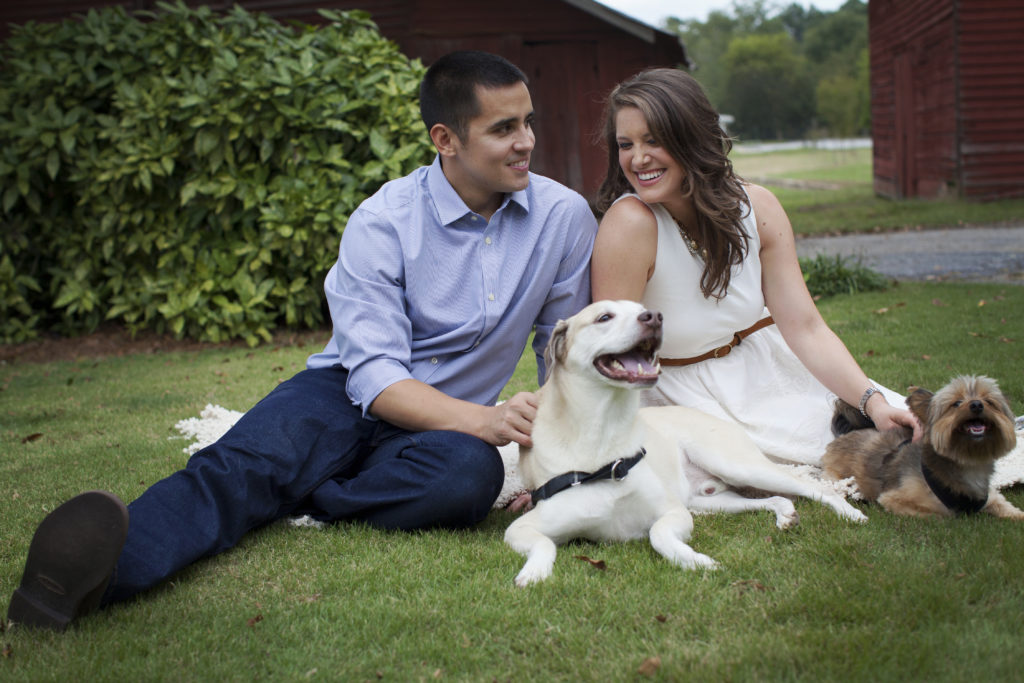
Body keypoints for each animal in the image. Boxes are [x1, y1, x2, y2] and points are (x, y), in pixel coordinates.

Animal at [827, 374, 1019, 518]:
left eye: (989, 402)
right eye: (956, 404)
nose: (977, 405)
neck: (969, 462)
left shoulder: (990, 496)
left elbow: (1006, 507)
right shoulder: (895, 499)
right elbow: (942, 515)